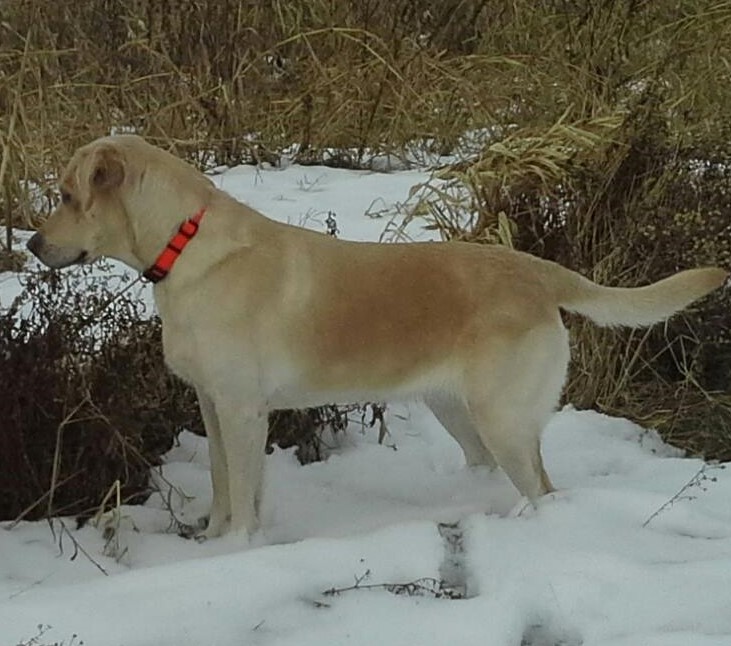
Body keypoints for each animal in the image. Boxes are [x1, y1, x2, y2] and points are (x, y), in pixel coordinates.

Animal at [25, 137, 728, 540]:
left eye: (65, 195)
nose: (30, 244)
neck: (185, 244)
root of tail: (536, 269)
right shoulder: (213, 404)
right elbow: (226, 485)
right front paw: (213, 538)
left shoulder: (243, 409)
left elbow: (243, 495)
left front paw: (233, 551)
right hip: (458, 412)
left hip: (501, 417)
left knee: (545, 489)